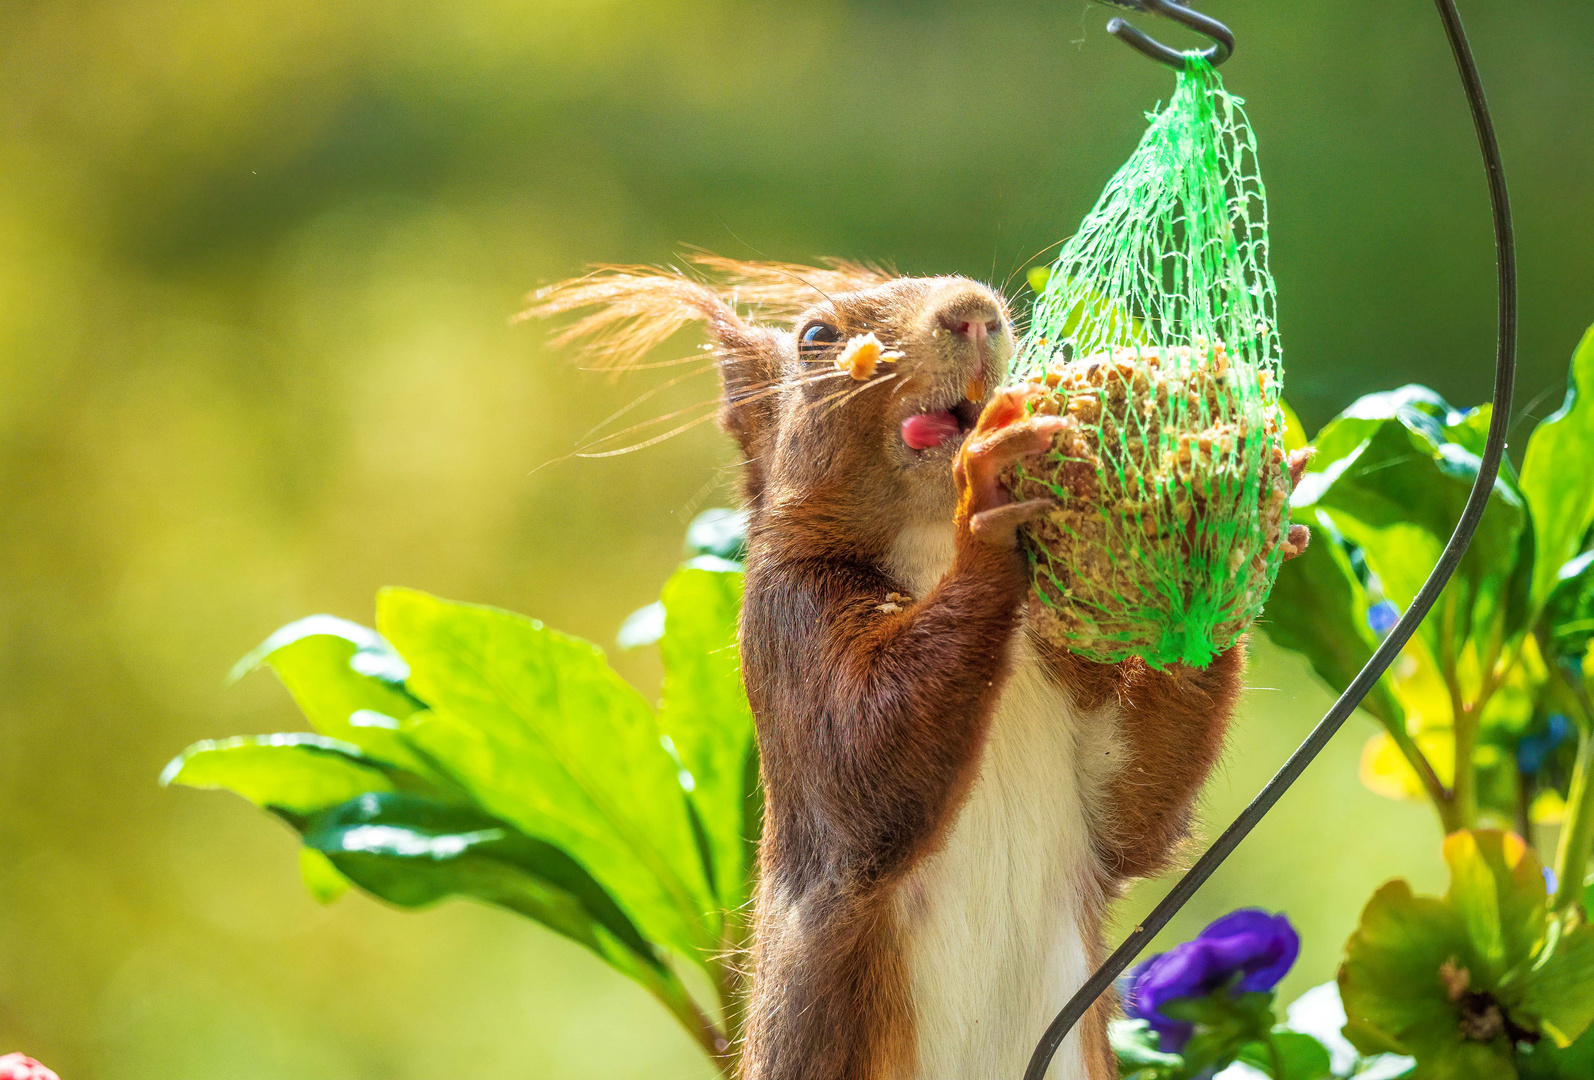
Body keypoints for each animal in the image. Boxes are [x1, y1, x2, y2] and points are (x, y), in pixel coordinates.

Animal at [535, 262, 1307, 1080]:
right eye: (816, 337)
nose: (973, 312)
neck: (931, 546)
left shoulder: (1079, 721)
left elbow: (1132, 807)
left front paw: (1226, 542)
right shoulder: (784, 629)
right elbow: (862, 762)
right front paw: (986, 494)